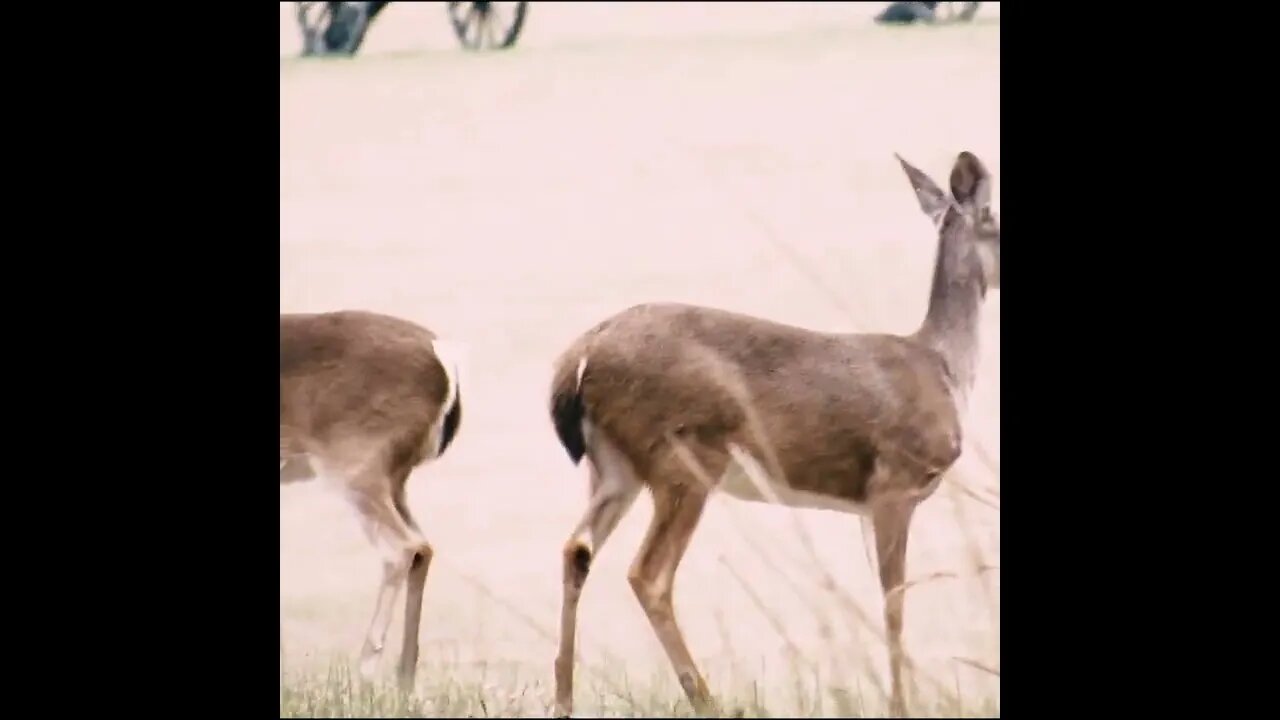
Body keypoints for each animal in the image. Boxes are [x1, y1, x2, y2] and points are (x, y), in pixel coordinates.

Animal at [280, 309, 463, 691]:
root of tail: (444, 358)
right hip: (394, 477)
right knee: (423, 547)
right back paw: (404, 678)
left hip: (357, 464)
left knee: (402, 547)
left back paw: (366, 670)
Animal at [546, 151, 999, 717]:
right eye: (998, 222)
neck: (945, 367)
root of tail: (579, 357)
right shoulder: (893, 484)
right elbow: (894, 599)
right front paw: (902, 705)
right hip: (683, 460)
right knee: (647, 574)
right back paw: (707, 699)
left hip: (614, 467)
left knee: (577, 549)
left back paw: (564, 698)